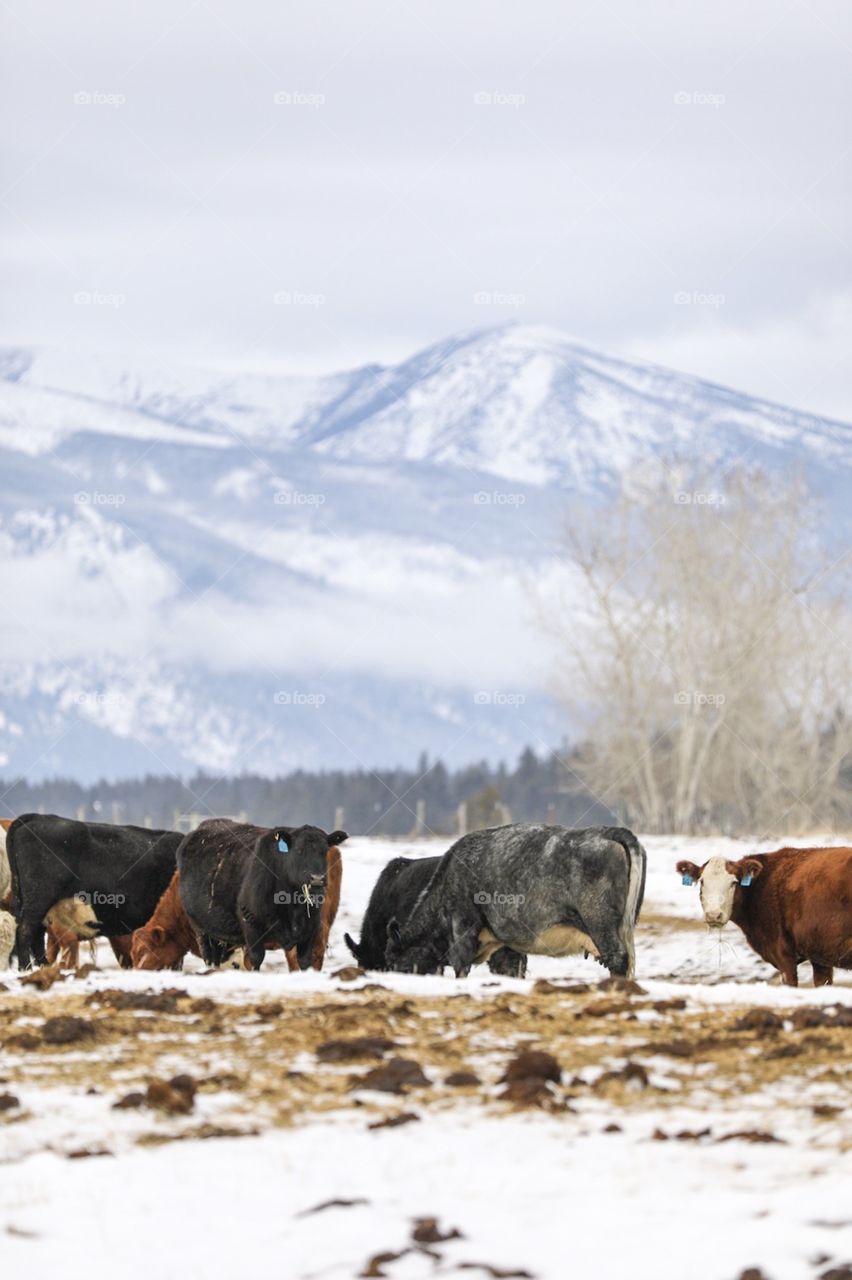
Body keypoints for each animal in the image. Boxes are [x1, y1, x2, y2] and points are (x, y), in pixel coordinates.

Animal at [6, 814, 183, 968]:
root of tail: (38, 816)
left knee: (36, 938)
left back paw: (44, 968)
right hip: (38, 901)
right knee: (24, 933)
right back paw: (26, 969)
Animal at [177, 819, 347, 971]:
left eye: (324, 851)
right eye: (299, 851)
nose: (317, 878)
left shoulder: (311, 928)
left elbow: (305, 961)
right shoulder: (251, 924)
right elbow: (256, 959)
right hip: (201, 929)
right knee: (210, 957)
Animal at [384, 824, 646, 979]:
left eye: (395, 961)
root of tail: (610, 831)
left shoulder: (462, 928)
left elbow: (462, 966)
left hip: (600, 924)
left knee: (618, 959)